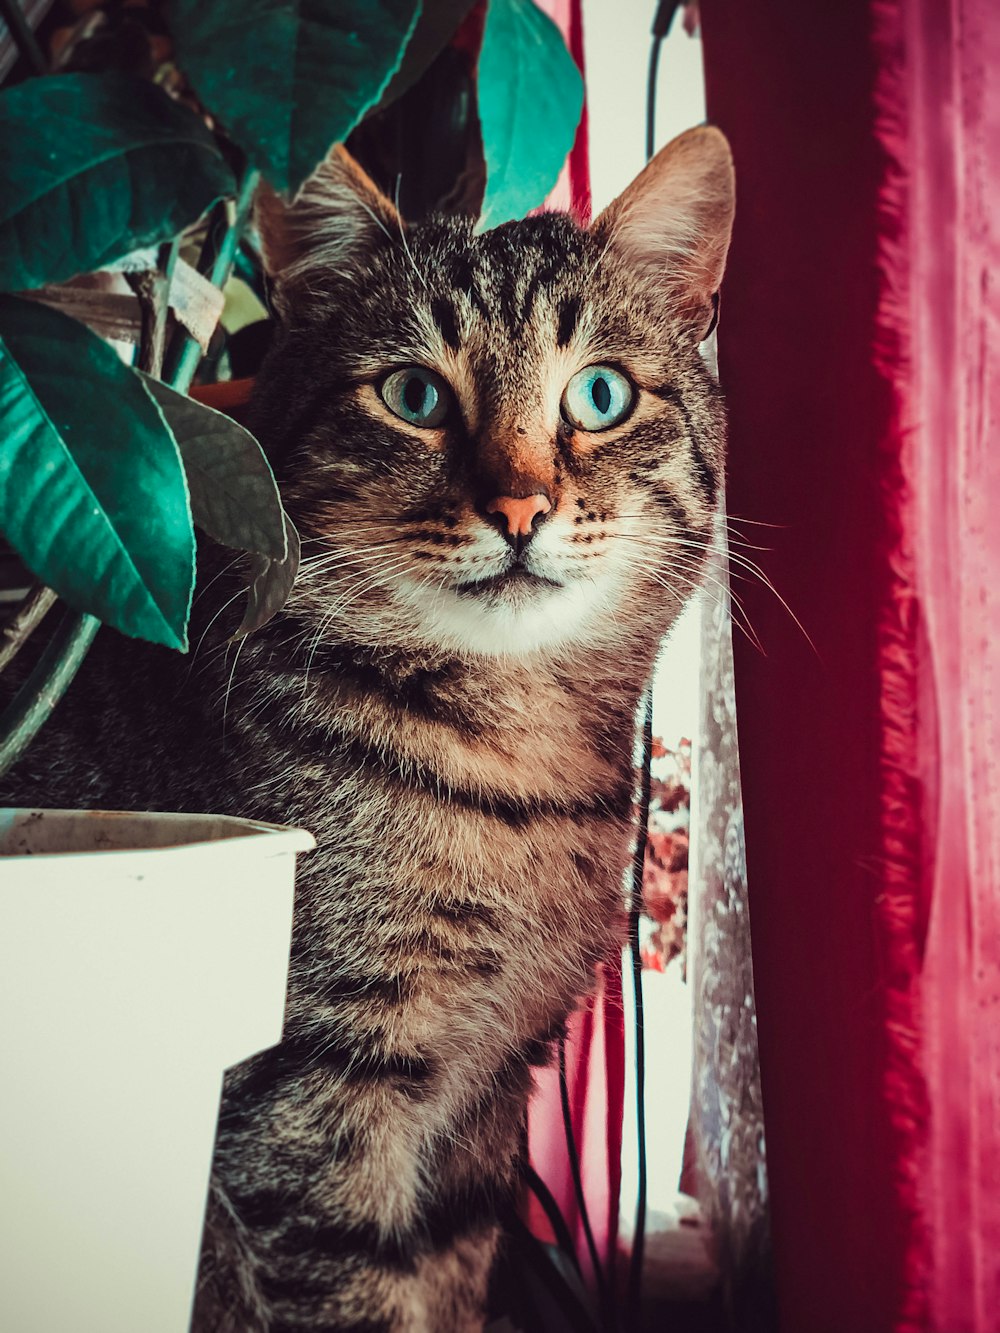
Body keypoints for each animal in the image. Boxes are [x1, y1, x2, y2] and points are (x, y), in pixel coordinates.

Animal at [0, 127, 736, 1333]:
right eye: (412, 393)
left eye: (600, 394)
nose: (520, 508)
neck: (520, 771)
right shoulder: (308, 1098)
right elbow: (361, 1293)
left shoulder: (487, 1107)